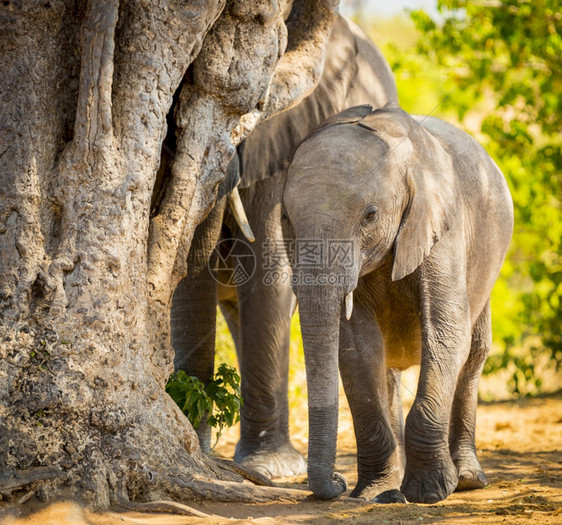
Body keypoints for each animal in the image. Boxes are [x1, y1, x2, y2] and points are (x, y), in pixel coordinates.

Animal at [284, 103, 512, 504]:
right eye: (286, 220)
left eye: (369, 215)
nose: (336, 484)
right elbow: (356, 350)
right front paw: (376, 494)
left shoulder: (441, 227)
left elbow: (445, 334)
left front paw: (429, 491)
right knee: (388, 369)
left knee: (474, 353)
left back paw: (468, 479)